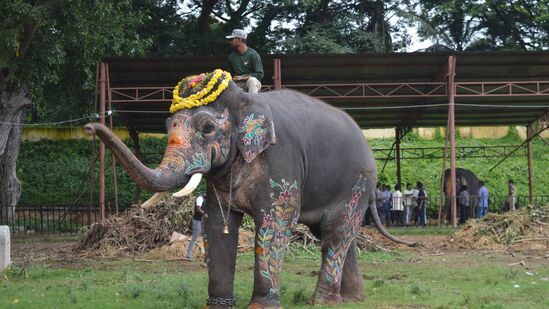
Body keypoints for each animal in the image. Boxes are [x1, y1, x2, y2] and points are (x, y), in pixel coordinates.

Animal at [84, 68, 412, 306]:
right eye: (166, 127)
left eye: (207, 128)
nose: (89, 126)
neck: (242, 100)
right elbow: (218, 224)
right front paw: (217, 306)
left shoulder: (281, 161)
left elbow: (275, 223)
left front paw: (261, 306)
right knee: (340, 234)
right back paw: (351, 299)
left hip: (356, 182)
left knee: (335, 233)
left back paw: (320, 302)